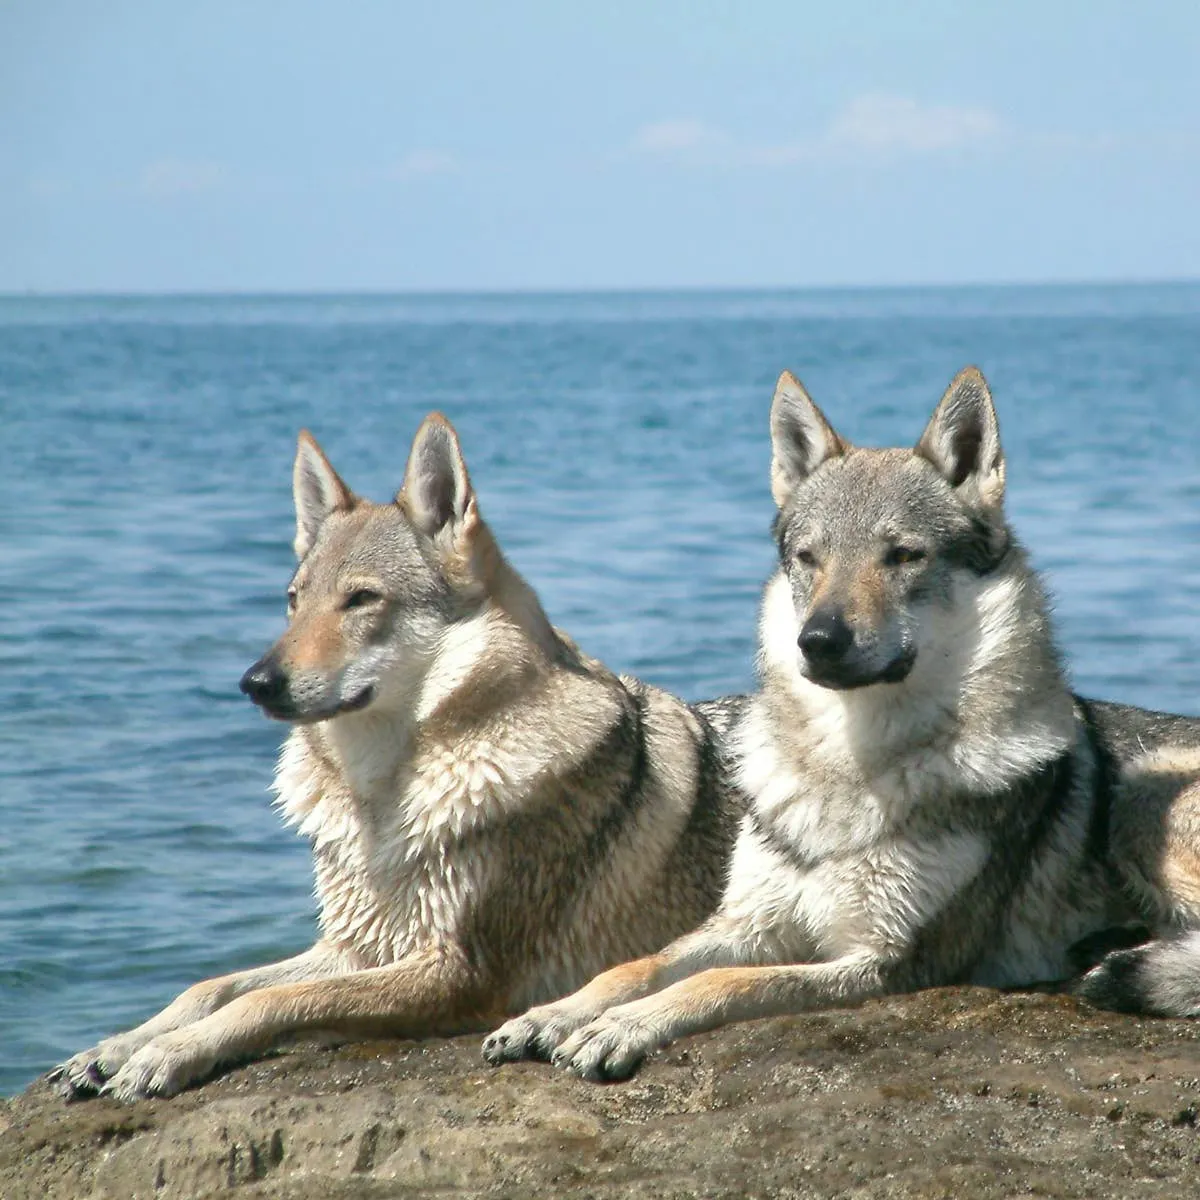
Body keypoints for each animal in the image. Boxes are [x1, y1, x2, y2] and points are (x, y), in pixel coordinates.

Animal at [53, 413, 744, 1100]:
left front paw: (166, 1054)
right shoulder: (359, 944)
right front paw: (115, 1047)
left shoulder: (456, 971)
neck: (382, 798)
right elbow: (211, 986)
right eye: (293, 600)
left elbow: (269, 1000)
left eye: (361, 599)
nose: (255, 682)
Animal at [483, 366, 1200, 1081]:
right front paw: (552, 1014)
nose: (819, 640)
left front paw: (621, 1028)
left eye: (903, 556)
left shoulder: (885, 961)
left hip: (1140, 804)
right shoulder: (749, 923)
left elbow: (720, 984)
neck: (850, 769)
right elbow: (635, 966)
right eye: (808, 557)